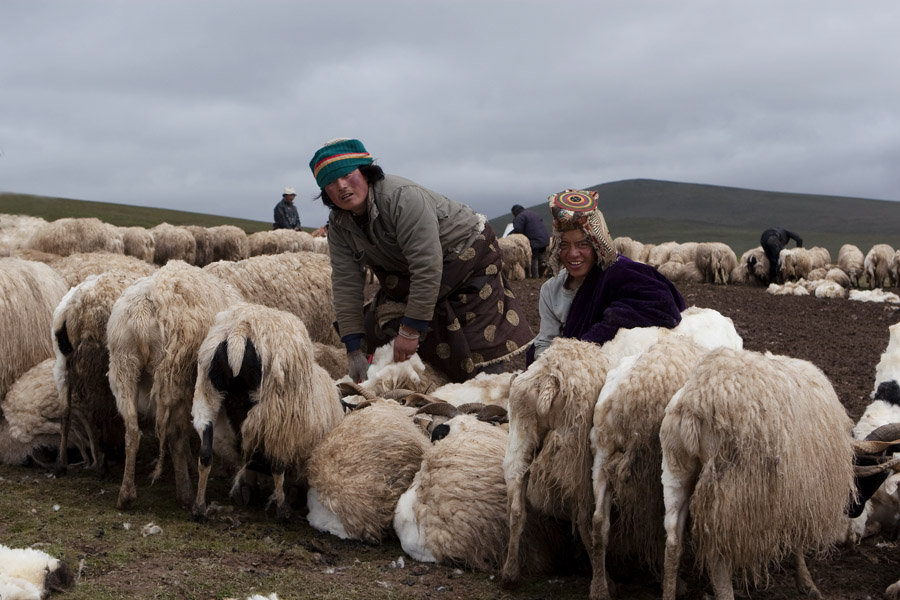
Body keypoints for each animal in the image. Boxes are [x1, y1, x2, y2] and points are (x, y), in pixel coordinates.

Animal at [107, 260, 244, 508]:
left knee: (132, 429)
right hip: (175, 375)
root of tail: (144, 308)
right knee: (174, 434)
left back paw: (126, 493)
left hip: (123, 364)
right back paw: (186, 494)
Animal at [191, 304, 344, 520]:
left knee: (206, 453)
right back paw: (283, 510)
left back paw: (199, 507)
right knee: (276, 463)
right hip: (276, 411)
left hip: (207, 391)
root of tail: (239, 333)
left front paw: (248, 488)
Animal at [656, 346, 856, 600]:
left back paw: (669, 590)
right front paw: (806, 580)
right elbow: (798, 540)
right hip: (733, 484)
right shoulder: (799, 491)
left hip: (676, 466)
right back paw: (726, 593)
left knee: (673, 540)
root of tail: (696, 400)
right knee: (717, 552)